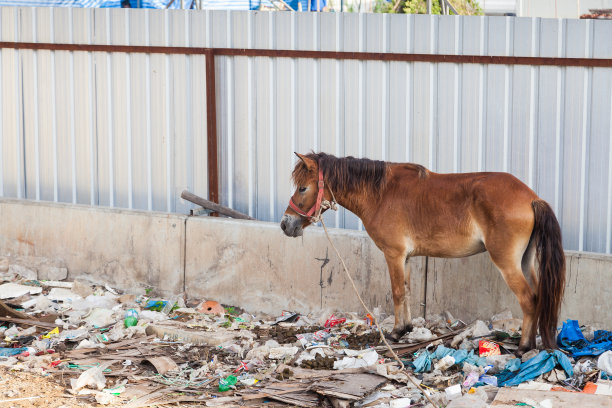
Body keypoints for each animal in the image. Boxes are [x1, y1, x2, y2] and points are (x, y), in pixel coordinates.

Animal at [280, 152, 568, 350]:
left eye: (303, 187)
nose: (285, 224)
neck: (380, 194)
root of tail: (532, 198)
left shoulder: (394, 255)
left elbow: (397, 292)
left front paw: (395, 333)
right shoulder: (405, 258)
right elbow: (406, 291)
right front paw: (406, 328)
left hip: (507, 263)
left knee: (529, 299)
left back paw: (524, 347)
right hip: (525, 262)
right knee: (538, 296)